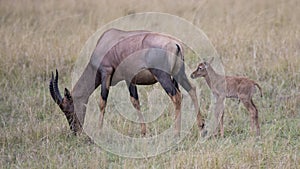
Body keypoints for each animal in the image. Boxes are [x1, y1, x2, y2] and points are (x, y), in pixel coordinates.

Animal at [49, 28, 205, 136]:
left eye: (66, 109)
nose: (75, 131)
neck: (105, 42)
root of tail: (175, 44)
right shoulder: (130, 78)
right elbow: (135, 102)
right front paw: (143, 132)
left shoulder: (106, 73)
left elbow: (102, 102)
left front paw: (99, 132)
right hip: (179, 74)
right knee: (191, 89)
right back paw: (201, 126)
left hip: (163, 76)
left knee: (177, 96)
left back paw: (175, 133)